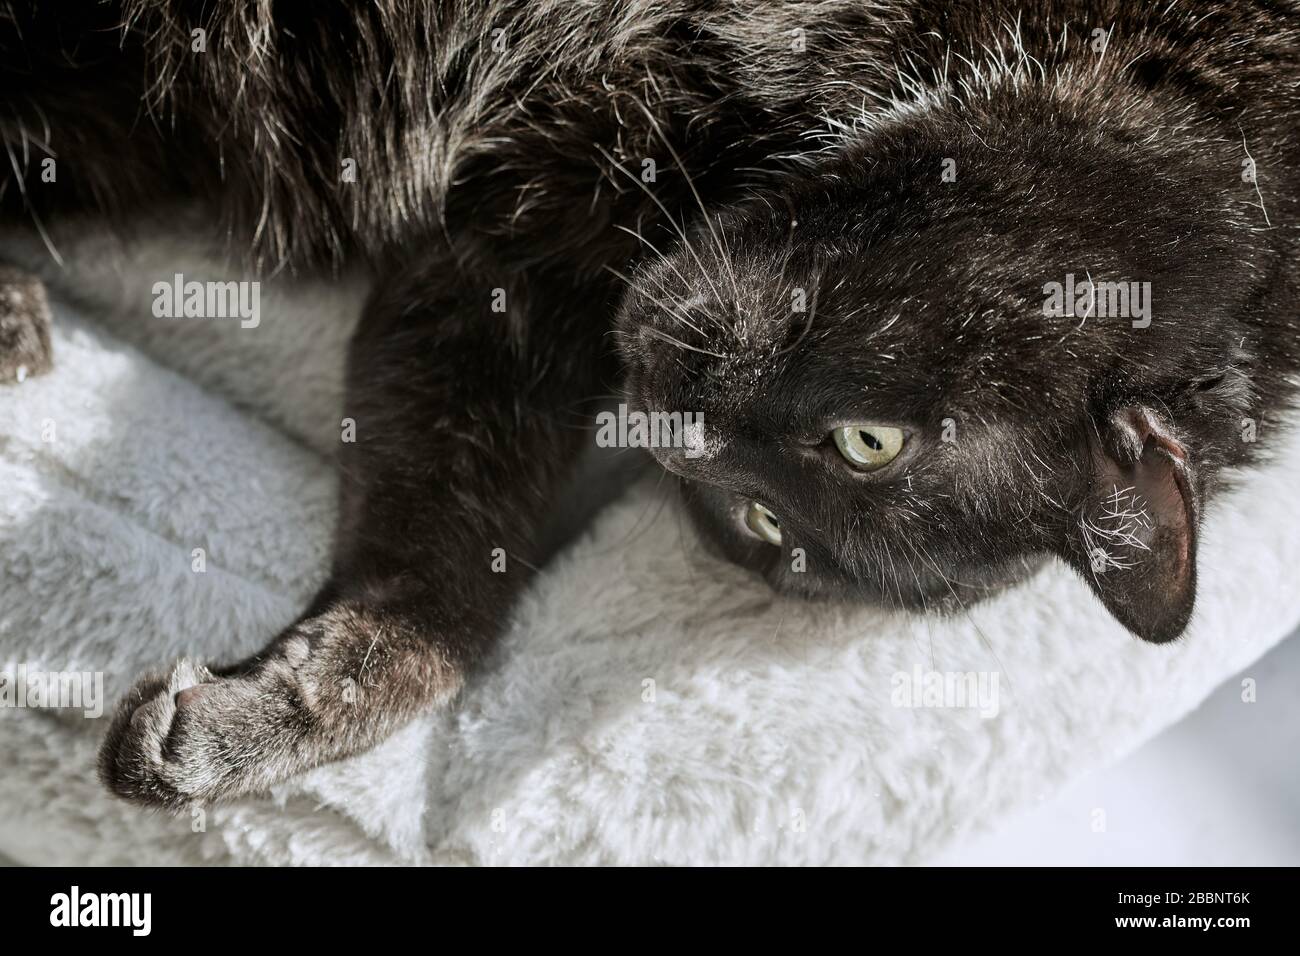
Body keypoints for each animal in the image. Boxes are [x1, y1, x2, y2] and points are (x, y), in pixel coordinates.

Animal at [2, 0, 1300, 806]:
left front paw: (277, 719)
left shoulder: (504, 251)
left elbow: (443, 572)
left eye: (763, 524)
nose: (673, 440)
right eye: (871, 440)